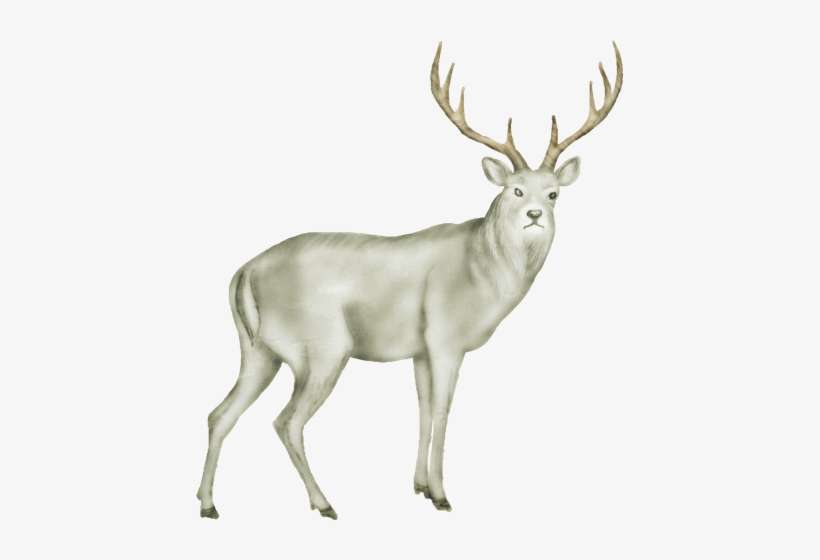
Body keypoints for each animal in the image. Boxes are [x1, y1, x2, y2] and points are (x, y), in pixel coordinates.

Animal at [197, 41, 623, 520]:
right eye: (515, 189)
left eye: (553, 193)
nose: (535, 215)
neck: (483, 272)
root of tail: (244, 271)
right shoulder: (446, 339)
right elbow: (442, 410)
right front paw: (441, 494)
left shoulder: (419, 350)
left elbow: (421, 409)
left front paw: (419, 485)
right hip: (324, 348)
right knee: (286, 421)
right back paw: (324, 503)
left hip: (257, 350)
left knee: (219, 413)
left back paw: (208, 503)